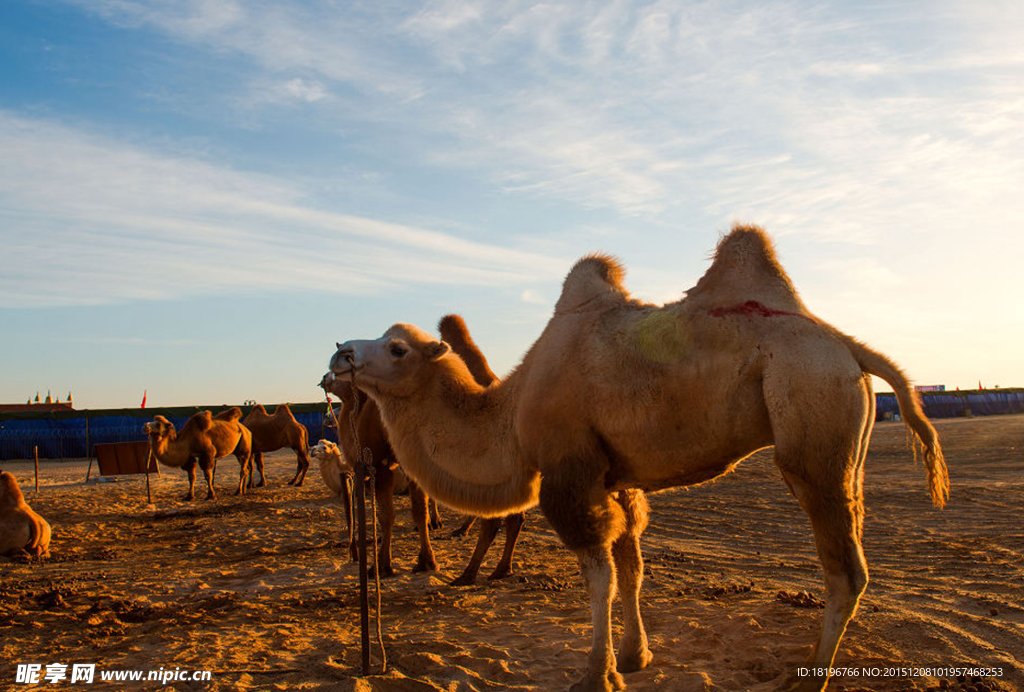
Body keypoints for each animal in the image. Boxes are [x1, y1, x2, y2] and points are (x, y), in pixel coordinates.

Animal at [329, 225, 950, 692]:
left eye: (397, 348)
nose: (340, 354)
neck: (513, 409)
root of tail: (849, 347)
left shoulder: (571, 472)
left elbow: (599, 575)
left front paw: (595, 675)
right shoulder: (615, 477)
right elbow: (631, 567)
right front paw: (634, 657)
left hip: (811, 416)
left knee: (844, 569)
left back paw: (807, 682)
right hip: (844, 441)